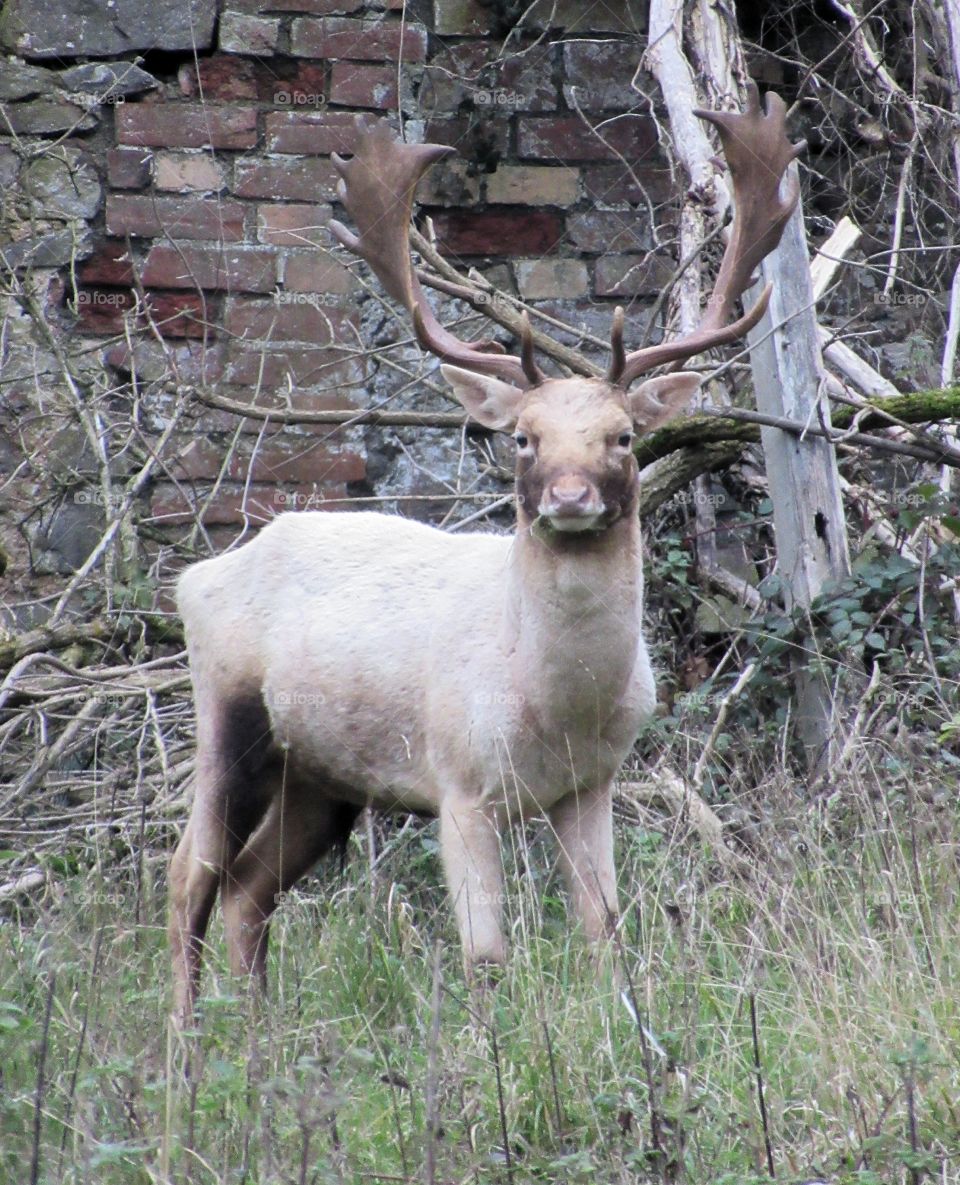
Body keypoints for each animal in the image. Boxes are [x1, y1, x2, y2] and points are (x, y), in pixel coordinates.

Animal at [165, 87, 801, 1023]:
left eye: (622, 435)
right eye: (524, 438)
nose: (569, 498)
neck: (555, 706)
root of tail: (195, 576)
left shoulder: (593, 782)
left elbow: (606, 932)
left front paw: (626, 1034)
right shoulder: (459, 783)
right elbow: (486, 957)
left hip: (323, 776)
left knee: (249, 890)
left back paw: (257, 1033)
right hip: (228, 709)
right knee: (189, 879)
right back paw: (184, 1043)